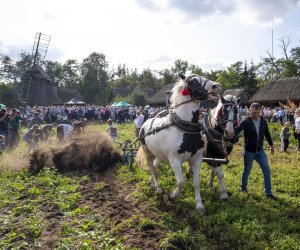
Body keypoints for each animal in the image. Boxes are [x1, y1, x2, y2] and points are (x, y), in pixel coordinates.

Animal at [137, 73, 221, 215]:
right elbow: (181, 182)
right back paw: (158, 189)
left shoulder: (196, 159)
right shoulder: (174, 160)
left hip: (159, 155)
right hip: (148, 152)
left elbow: (196, 181)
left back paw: (152, 183)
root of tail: (145, 123)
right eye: (194, 81)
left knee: (155, 166)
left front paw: (200, 205)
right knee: (151, 168)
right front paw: (172, 196)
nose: (216, 86)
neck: (185, 129)